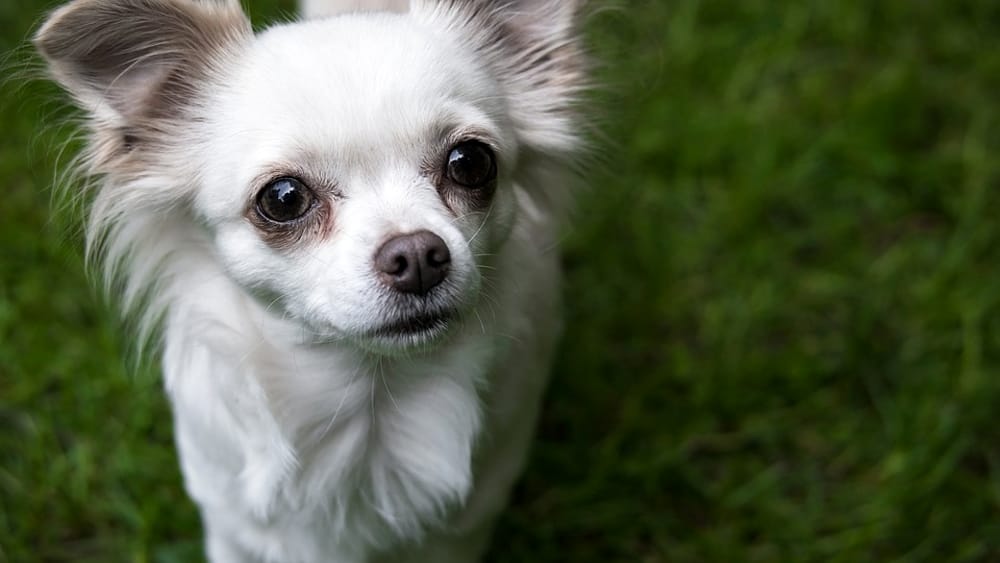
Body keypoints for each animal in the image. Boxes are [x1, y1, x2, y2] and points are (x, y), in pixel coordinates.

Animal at [37, 0, 584, 560]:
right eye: (283, 198)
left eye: (470, 162)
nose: (417, 255)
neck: (372, 401)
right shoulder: (230, 526)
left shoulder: (463, 531)